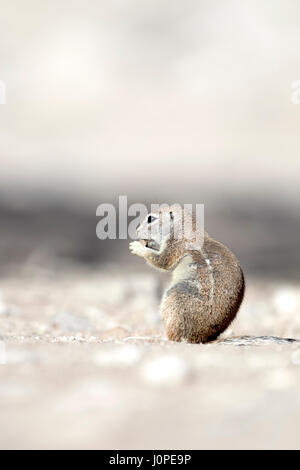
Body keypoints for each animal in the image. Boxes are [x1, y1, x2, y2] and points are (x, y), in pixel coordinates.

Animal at [130, 204, 245, 344]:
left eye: (151, 219)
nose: (136, 230)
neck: (183, 228)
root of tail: (201, 337)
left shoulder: (175, 245)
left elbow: (162, 260)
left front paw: (136, 247)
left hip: (174, 296)